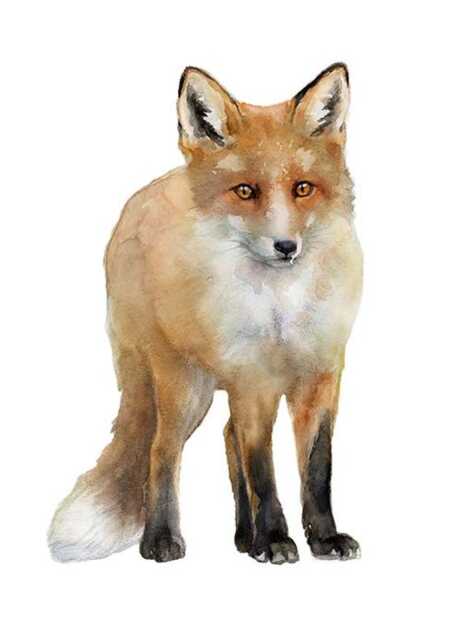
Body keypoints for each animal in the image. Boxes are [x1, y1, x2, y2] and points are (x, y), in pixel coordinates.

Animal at [48, 62, 363, 565]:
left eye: (303, 189)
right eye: (245, 191)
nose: (286, 247)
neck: (282, 310)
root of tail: (145, 195)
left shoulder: (320, 376)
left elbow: (316, 469)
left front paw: (322, 539)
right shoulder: (254, 380)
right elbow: (262, 471)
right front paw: (277, 539)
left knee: (227, 440)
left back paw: (244, 538)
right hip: (183, 388)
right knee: (162, 450)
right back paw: (162, 539)